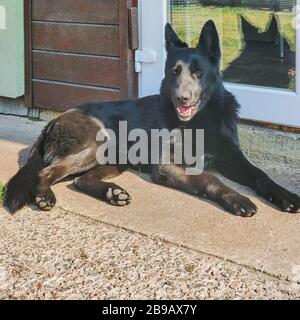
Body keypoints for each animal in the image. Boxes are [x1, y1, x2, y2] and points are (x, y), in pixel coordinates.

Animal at [2, 21, 300, 218]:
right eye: (174, 72)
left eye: (198, 72)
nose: (181, 99)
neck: (200, 120)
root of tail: (52, 122)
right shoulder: (168, 166)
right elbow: (209, 179)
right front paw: (238, 199)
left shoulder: (233, 158)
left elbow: (259, 174)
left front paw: (285, 195)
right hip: (101, 143)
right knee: (47, 172)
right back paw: (44, 196)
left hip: (116, 157)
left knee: (80, 181)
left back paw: (113, 193)